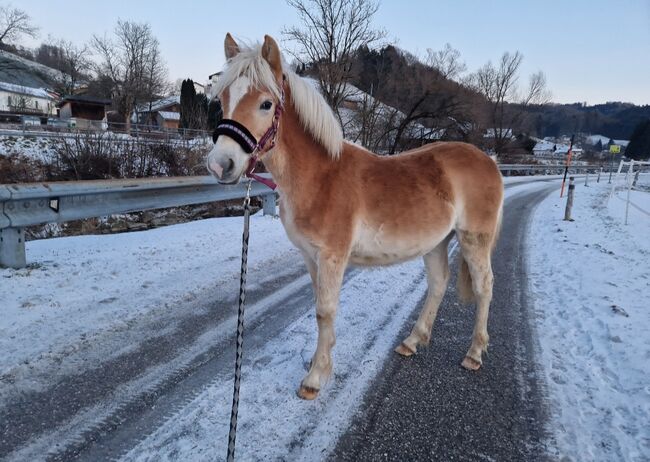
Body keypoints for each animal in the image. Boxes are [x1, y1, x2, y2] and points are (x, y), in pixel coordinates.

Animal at [206, 33, 502, 400]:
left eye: (266, 104)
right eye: (223, 99)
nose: (221, 164)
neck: (320, 176)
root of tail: (490, 161)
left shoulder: (332, 256)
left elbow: (325, 311)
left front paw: (315, 378)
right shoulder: (310, 257)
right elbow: (319, 308)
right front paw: (320, 363)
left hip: (475, 239)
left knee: (484, 286)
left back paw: (474, 353)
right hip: (436, 242)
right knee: (438, 283)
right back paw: (412, 341)